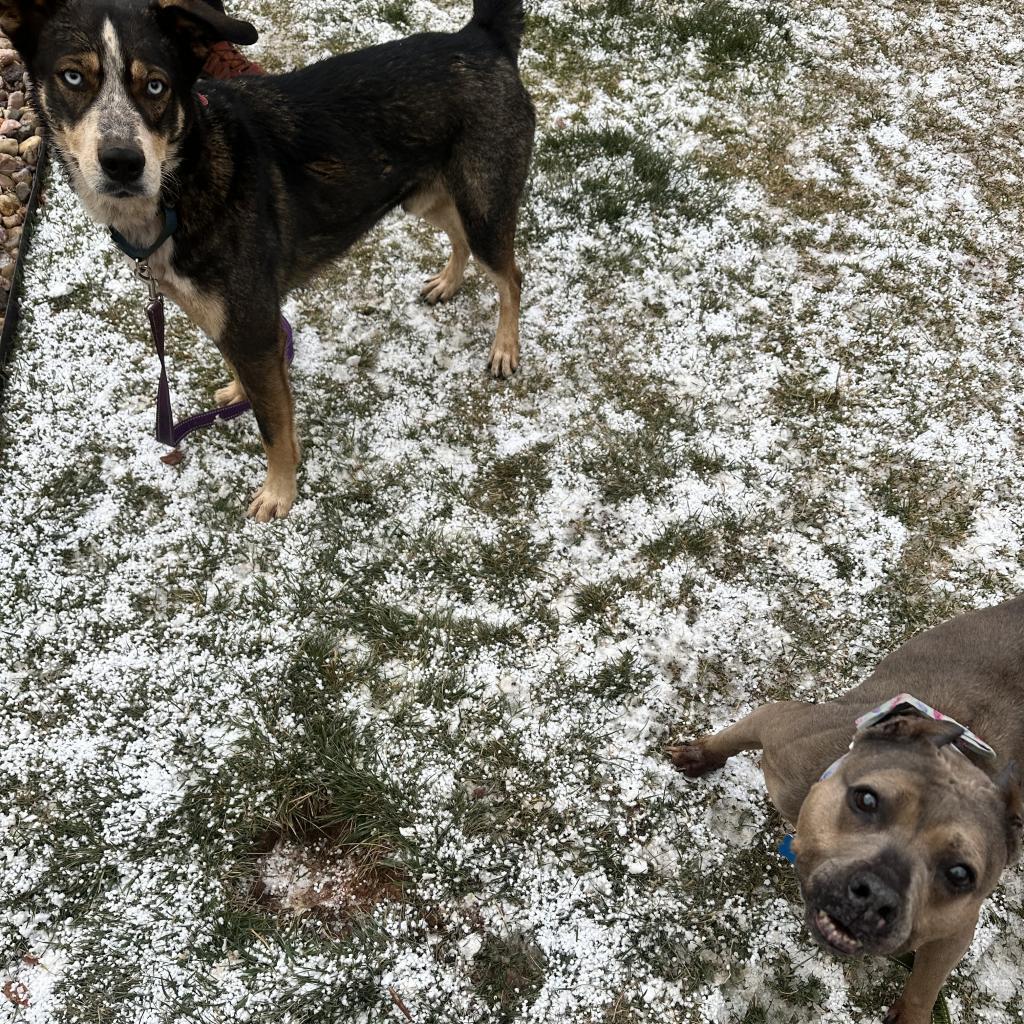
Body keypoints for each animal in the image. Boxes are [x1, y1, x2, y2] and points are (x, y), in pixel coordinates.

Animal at [4, 0, 536, 520]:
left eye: (156, 85)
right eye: (73, 77)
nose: (122, 163)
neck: (185, 177)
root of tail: (480, 36)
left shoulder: (254, 323)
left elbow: (274, 427)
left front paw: (279, 492)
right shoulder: (228, 317)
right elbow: (247, 376)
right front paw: (240, 394)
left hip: (484, 205)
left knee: (511, 274)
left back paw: (505, 348)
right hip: (426, 196)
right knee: (460, 237)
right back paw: (448, 282)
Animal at [671, 598, 1024, 1024]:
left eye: (960, 874)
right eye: (866, 799)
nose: (876, 896)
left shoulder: (956, 929)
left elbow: (925, 984)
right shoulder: (778, 724)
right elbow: (732, 737)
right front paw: (699, 756)